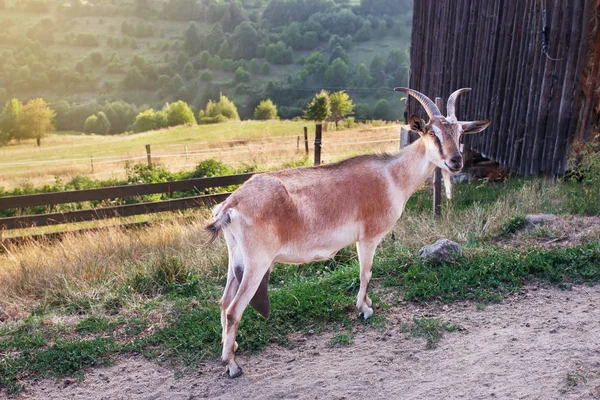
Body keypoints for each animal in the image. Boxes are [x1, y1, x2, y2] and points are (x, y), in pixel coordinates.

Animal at [204, 88, 490, 378]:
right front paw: (364, 309)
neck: (392, 176)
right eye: (433, 133)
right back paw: (232, 365)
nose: (456, 161)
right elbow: (366, 272)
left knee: (223, 302)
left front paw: (367, 303)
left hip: (237, 258)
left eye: (461, 133)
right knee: (233, 309)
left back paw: (231, 346)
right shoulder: (368, 237)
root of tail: (230, 206)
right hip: (257, 263)